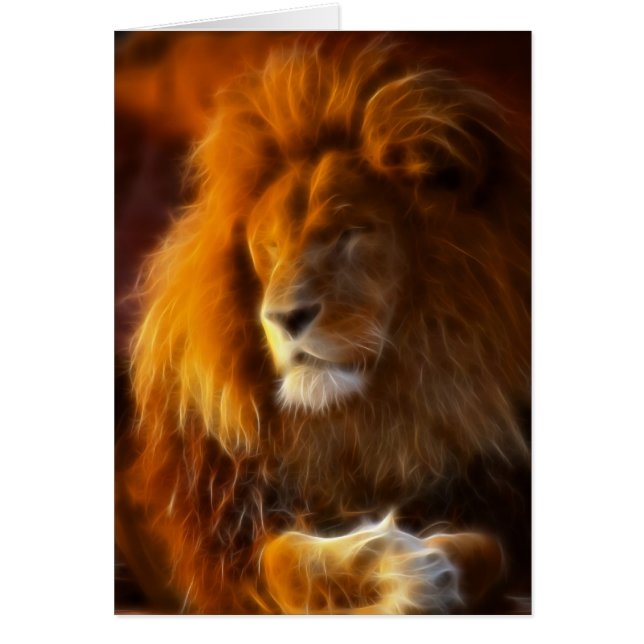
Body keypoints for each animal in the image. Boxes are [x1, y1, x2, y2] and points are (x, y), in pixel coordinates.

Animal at [115, 35, 531, 614]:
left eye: (348, 233)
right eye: (269, 245)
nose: (283, 317)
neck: (356, 425)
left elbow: (486, 549)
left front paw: (436, 566)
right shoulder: (227, 546)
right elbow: (284, 559)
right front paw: (387, 563)